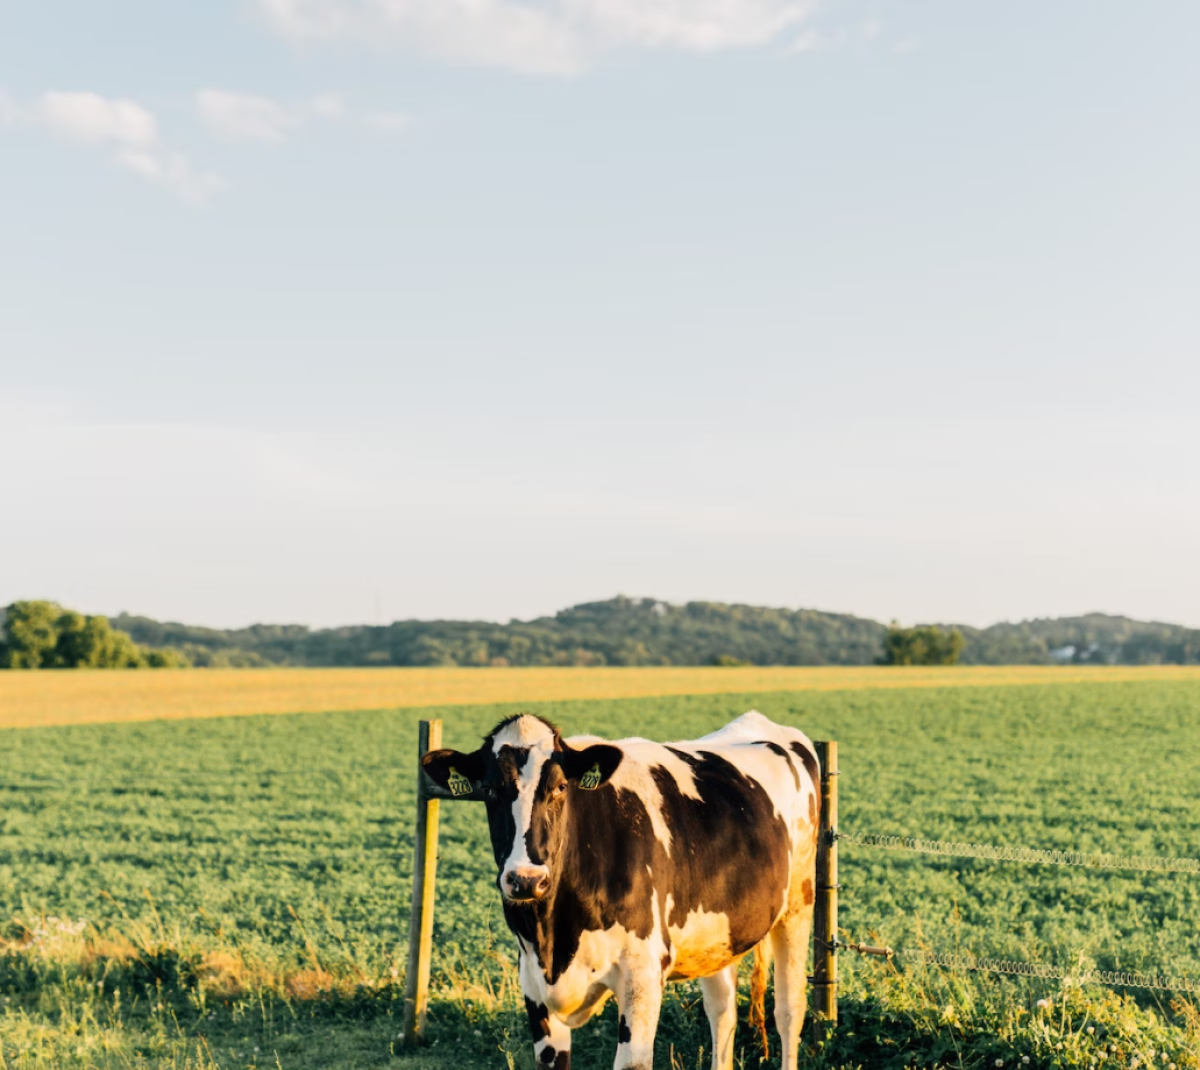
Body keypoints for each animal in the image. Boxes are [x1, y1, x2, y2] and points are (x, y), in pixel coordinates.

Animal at [421, 709, 820, 1070]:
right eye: (489, 790)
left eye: (560, 787)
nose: (526, 879)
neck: (554, 935)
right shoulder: (533, 984)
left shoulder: (643, 973)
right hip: (719, 933)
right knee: (722, 1010)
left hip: (798, 903)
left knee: (789, 1010)